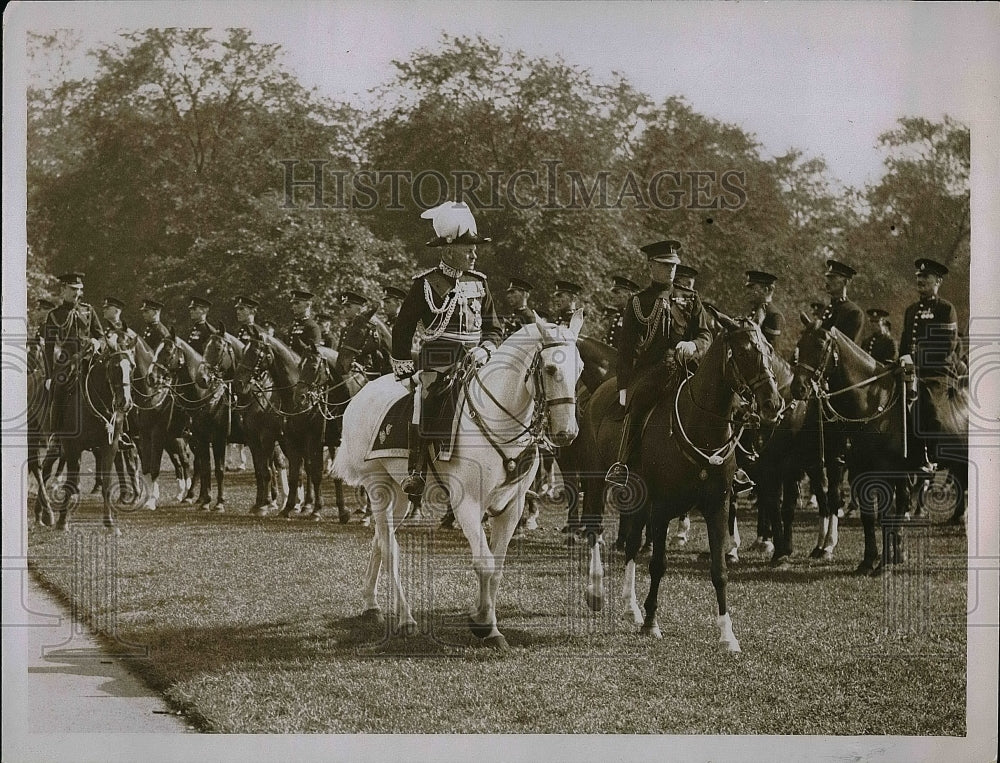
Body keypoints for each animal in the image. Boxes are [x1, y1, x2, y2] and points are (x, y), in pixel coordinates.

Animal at [336, 310, 584, 652]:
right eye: (550, 368)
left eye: (581, 368)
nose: (567, 433)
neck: (499, 420)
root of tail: (361, 396)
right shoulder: (467, 504)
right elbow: (485, 563)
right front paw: (487, 627)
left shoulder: (512, 505)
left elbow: (497, 566)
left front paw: (482, 617)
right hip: (379, 488)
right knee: (390, 549)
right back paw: (405, 618)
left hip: (400, 495)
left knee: (379, 541)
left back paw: (371, 605)